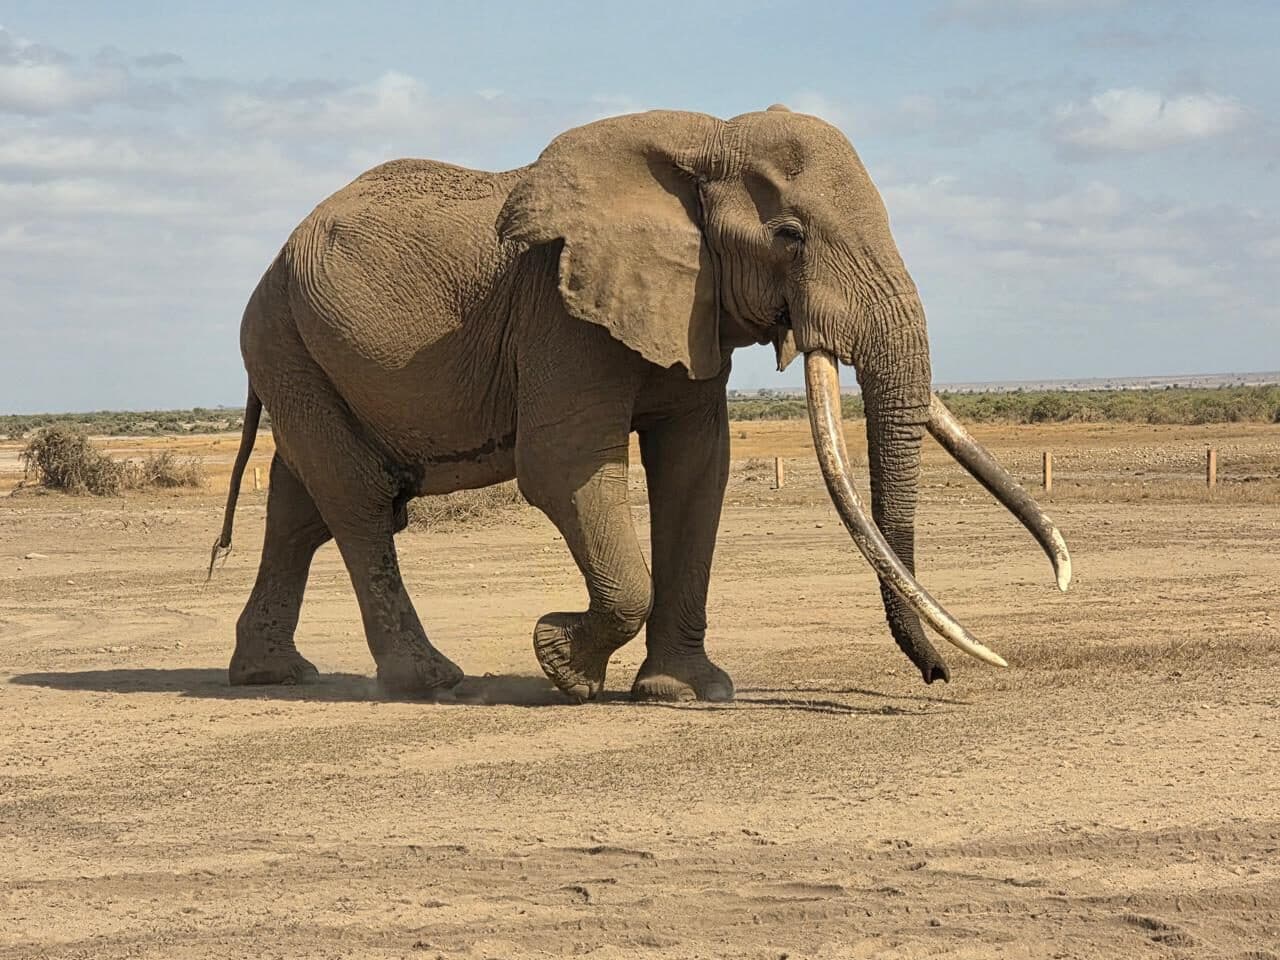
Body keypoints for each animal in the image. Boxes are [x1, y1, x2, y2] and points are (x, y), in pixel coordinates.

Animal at [210, 104, 1071, 702]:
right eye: (790, 235)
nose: (937, 679)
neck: (707, 139)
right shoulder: (558, 310)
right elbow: (563, 469)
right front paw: (562, 662)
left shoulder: (690, 307)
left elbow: (696, 469)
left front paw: (688, 692)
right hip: (281, 337)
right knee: (356, 500)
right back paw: (428, 681)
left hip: (299, 350)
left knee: (302, 506)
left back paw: (272, 675)